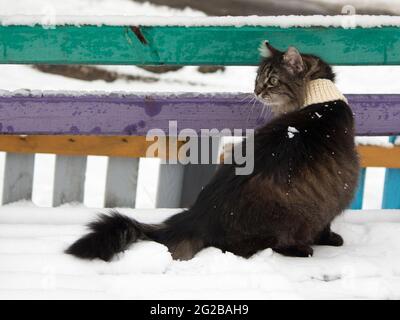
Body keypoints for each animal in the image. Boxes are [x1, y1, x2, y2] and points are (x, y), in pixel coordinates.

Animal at [66, 42, 360, 262]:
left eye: (272, 80)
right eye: (258, 79)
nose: (256, 91)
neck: (319, 98)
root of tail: (196, 218)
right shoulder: (339, 188)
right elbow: (326, 225)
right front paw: (331, 239)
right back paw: (302, 249)